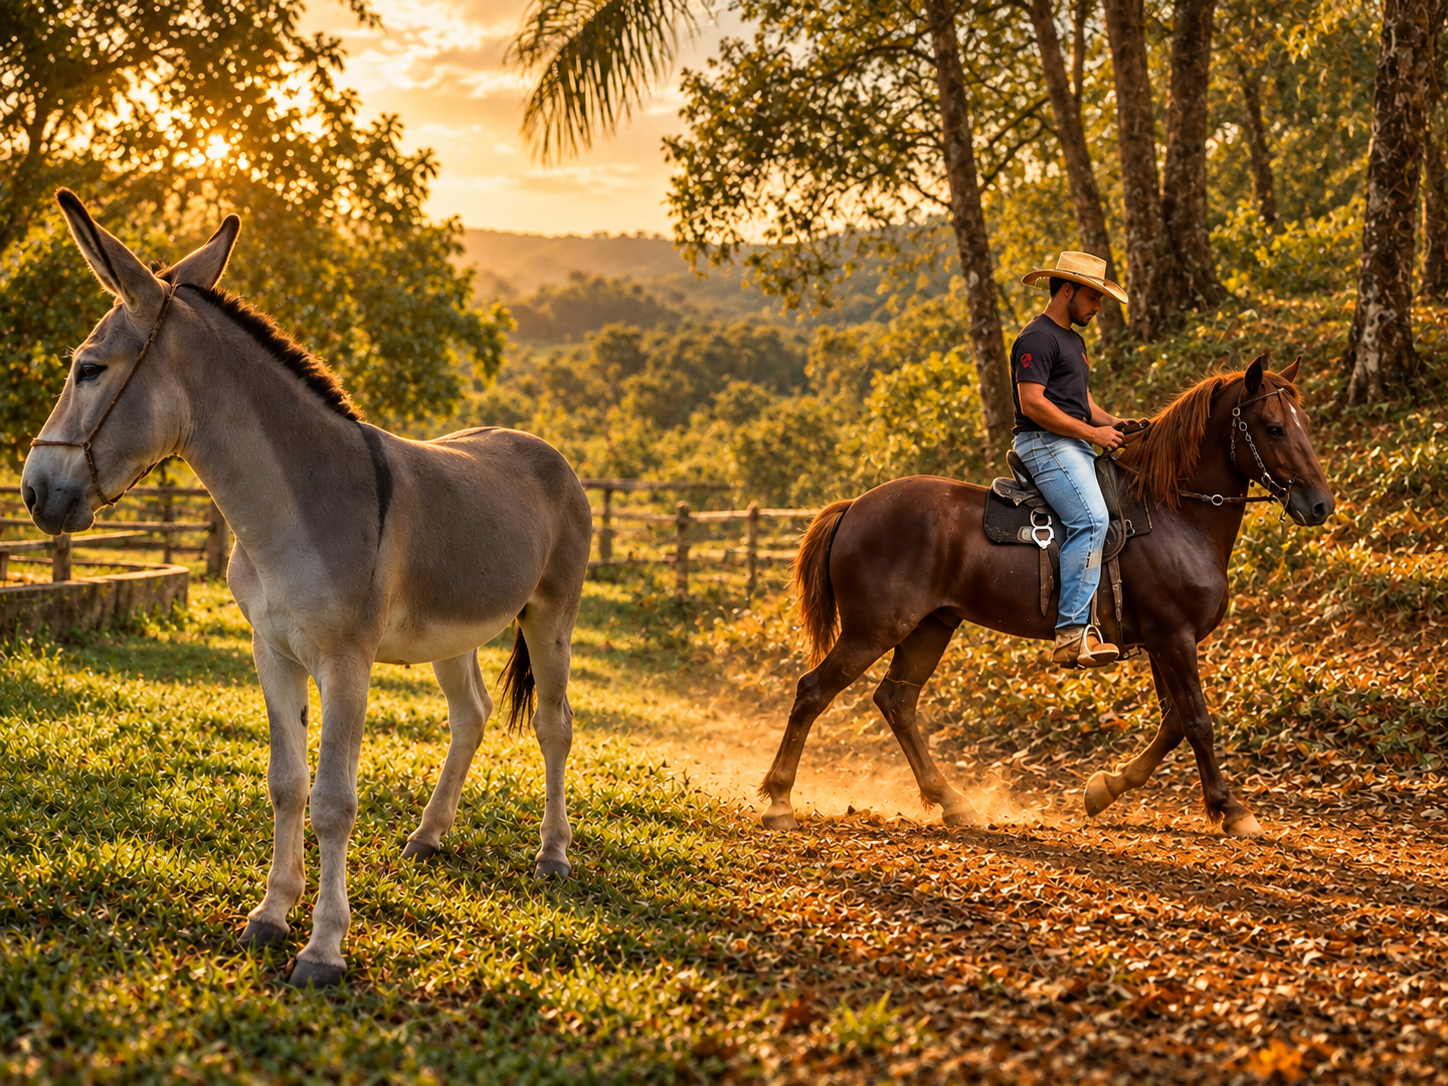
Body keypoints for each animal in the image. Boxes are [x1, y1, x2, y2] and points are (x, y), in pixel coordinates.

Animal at [23, 191, 592, 987]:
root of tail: (545, 449)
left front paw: (324, 949)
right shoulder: (273, 651)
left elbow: (332, 801)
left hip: (550, 616)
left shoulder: (345, 664)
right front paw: (269, 916)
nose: (33, 492)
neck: (287, 509)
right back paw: (429, 836)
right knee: (472, 716)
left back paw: (552, 854)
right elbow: (286, 784)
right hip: (457, 632)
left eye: (87, 368)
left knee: (553, 725)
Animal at [762, 357, 1334, 837]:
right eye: (1274, 427)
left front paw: (1105, 789)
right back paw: (779, 801)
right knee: (813, 691)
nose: (1320, 505)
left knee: (897, 702)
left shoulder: (1164, 642)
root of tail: (854, 506)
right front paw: (1230, 808)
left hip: (930, 627)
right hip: (875, 628)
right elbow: (1196, 721)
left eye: (1304, 424)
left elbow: (1172, 723)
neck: (1174, 512)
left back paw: (952, 801)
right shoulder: (1174, 638)